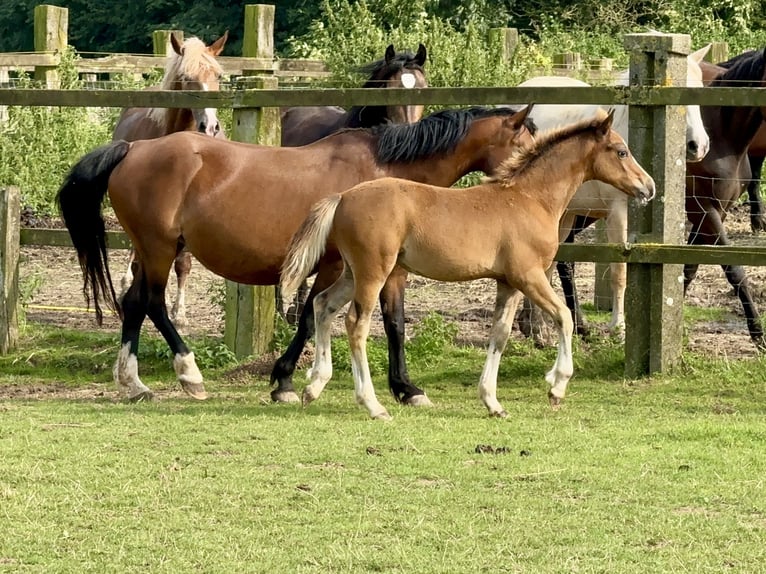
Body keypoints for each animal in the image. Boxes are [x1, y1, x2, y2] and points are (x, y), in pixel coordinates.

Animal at [56, 105, 536, 402]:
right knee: (153, 303)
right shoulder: (337, 266)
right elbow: (309, 317)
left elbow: (394, 324)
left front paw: (406, 388)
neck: (386, 173)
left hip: (151, 249)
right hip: (158, 249)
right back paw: (189, 374)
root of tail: (133, 149)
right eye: (525, 142)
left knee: (134, 302)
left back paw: (133, 383)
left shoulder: (389, 271)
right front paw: (285, 380)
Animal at [279, 109, 655, 420]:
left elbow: (499, 334)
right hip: (373, 272)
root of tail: (343, 198)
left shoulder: (508, 282)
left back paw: (313, 386)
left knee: (323, 305)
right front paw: (556, 385)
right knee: (355, 324)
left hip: (352, 272)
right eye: (621, 151)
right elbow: (564, 317)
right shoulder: (528, 275)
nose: (648, 187)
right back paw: (373, 405)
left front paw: (493, 402)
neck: (529, 198)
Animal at [516, 44, 711, 341]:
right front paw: (619, 327)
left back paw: (534, 326)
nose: (697, 146)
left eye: (699, 89)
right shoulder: (618, 214)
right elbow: (619, 272)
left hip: (565, 215)